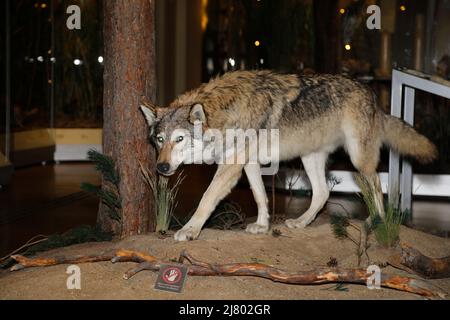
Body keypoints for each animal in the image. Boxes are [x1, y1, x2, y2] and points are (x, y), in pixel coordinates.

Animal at [140, 69, 436, 240]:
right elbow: (260, 196)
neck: (227, 109)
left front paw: (190, 230)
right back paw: (302, 222)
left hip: (358, 159)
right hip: (310, 158)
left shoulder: (231, 166)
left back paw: (376, 222)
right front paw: (262, 226)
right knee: (322, 193)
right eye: (160, 140)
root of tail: (373, 96)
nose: (161, 168)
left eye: (180, 139)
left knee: (376, 185)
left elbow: (206, 198)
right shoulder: (249, 163)